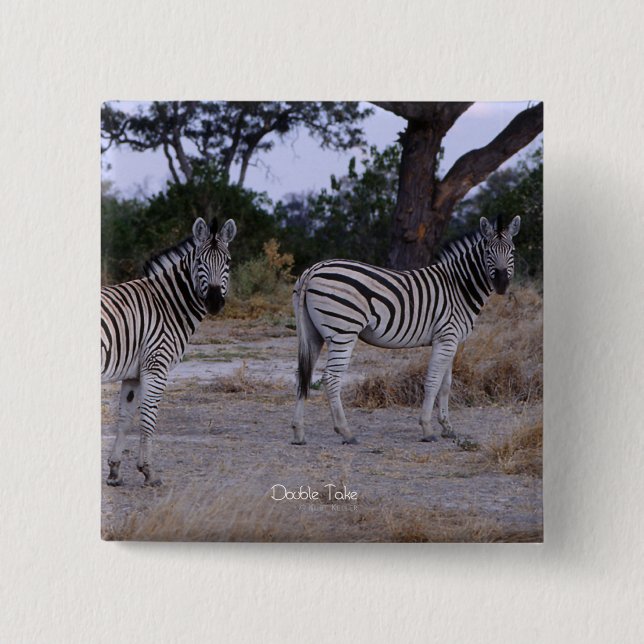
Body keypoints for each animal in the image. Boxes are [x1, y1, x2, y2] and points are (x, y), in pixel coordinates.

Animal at [101, 217, 237, 486]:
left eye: (227, 262)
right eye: (199, 262)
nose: (214, 302)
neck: (167, 305)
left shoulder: (133, 373)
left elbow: (125, 419)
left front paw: (114, 471)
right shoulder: (156, 366)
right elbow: (148, 420)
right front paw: (148, 471)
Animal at [291, 215, 521, 446]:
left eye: (512, 251)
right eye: (488, 251)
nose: (502, 284)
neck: (459, 287)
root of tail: (313, 269)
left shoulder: (451, 341)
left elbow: (446, 384)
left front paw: (447, 427)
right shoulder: (446, 338)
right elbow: (433, 382)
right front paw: (427, 428)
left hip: (312, 334)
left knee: (303, 374)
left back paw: (299, 433)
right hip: (343, 332)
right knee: (331, 378)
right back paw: (345, 432)